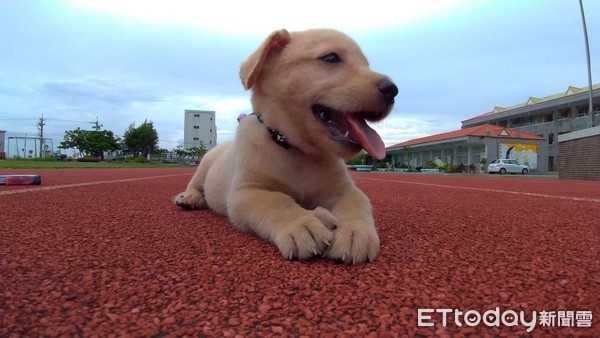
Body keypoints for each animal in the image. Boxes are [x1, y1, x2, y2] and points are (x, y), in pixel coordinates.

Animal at [176, 29, 396, 264]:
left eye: (367, 64)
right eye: (331, 58)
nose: (392, 90)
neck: (297, 151)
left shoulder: (344, 189)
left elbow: (356, 202)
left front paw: (354, 232)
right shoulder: (245, 192)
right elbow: (276, 201)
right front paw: (302, 224)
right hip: (206, 162)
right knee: (195, 183)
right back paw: (189, 198)